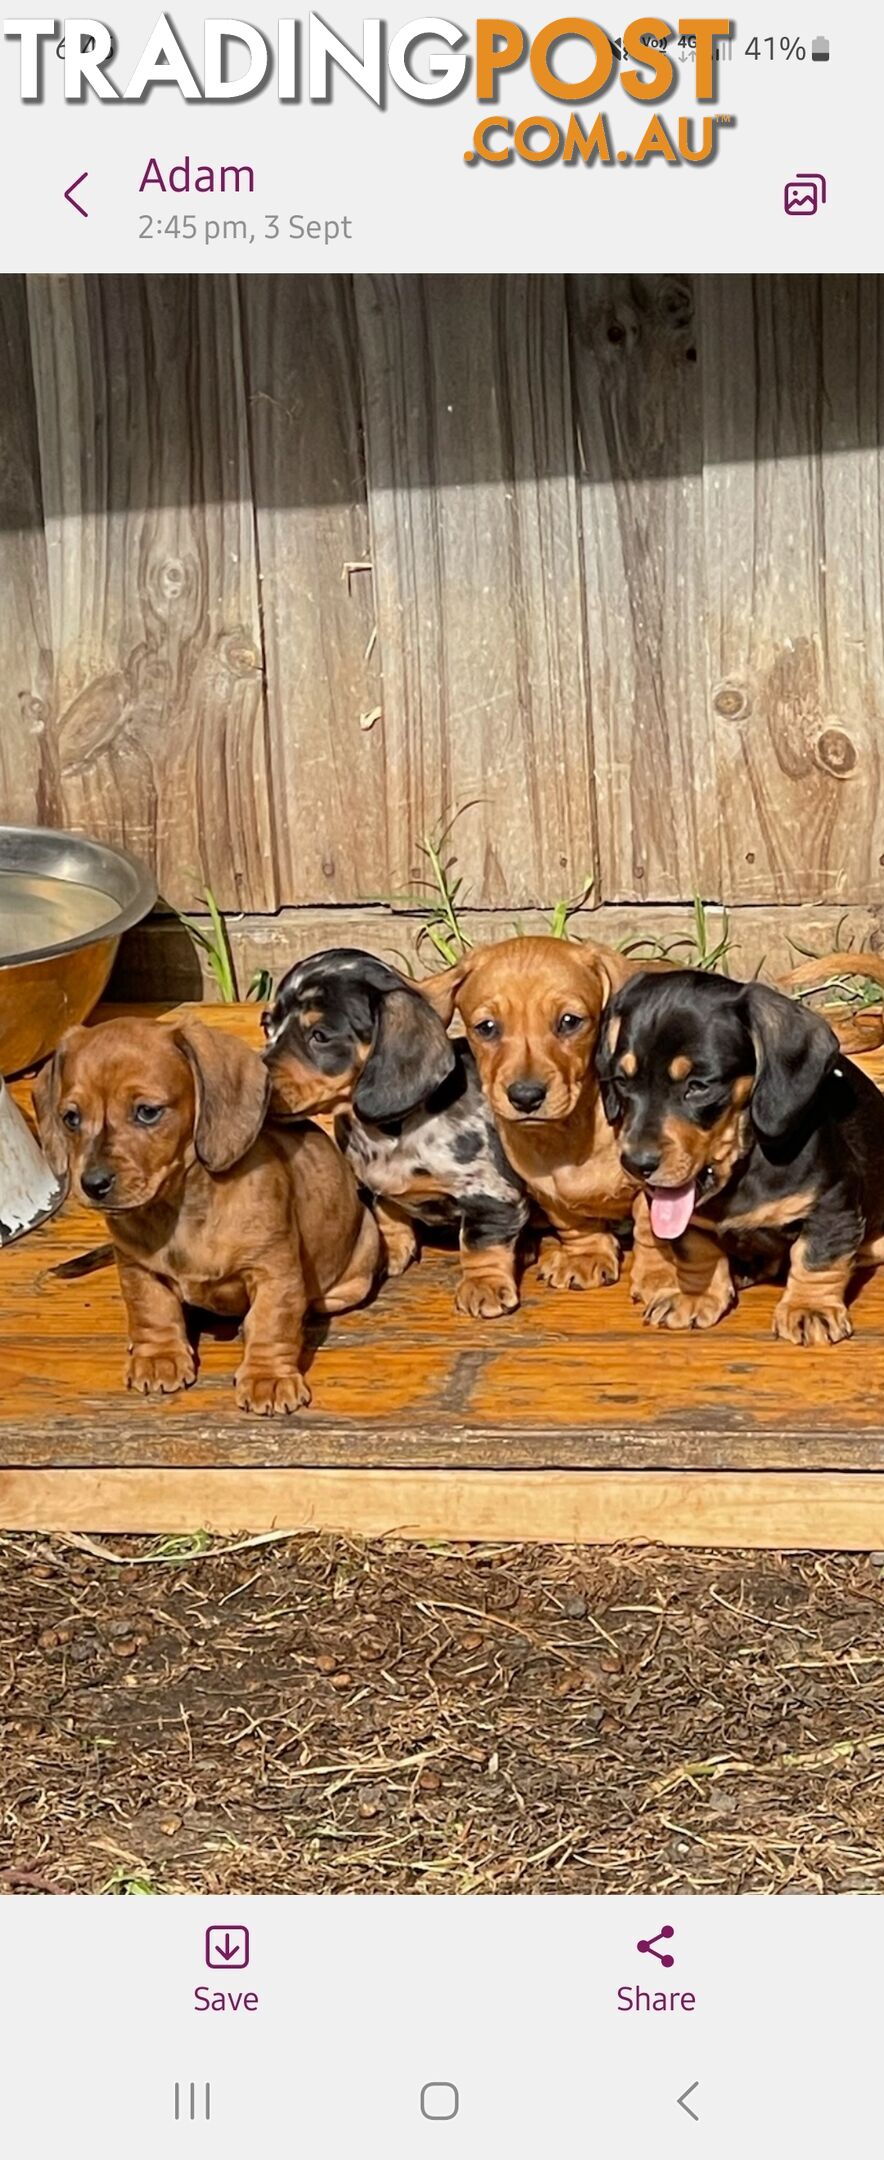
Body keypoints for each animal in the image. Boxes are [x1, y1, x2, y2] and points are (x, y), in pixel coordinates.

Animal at [34, 1015, 378, 1408]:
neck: (178, 1210)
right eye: (71, 1118)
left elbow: (271, 1323)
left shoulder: (274, 1274)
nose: (93, 1184)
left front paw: (268, 1377)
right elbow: (151, 1310)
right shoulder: (138, 1269)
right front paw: (158, 1357)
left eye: (147, 1112)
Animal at [258, 950, 527, 1313]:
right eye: (266, 1024)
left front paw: (483, 1284)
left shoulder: (491, 1193)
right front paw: (389, 1251)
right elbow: (389, 1214)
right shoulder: (379, 1189)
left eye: (320, 1035)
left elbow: (480, 1240)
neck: (391, 1133)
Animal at [417, 928, 670, 1296]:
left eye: (569, 1021)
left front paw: (660, 1275)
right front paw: (585, 1257)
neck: (570, 1132)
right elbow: (576, 1225)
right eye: (486, 1027)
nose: (525, 1097)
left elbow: (651, 1229)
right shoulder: (549, 1192)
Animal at [592, 972, 884, 1339]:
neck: (745, 1165)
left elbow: (817, 1258)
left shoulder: (833, 1202)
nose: (636, 1165)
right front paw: (695, 1295)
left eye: (698, 1086)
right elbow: (695, 1249)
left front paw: (809, 1308)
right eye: (622, 1081)